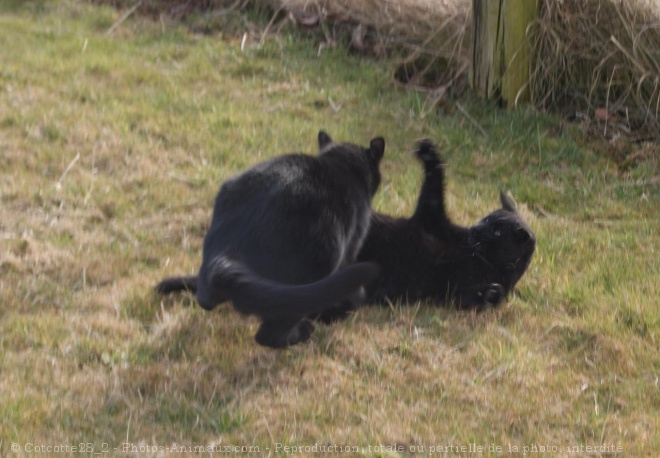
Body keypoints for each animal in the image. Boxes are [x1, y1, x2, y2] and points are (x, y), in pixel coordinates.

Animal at [157, 131, 384, 348]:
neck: (341, 164)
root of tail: (225, 254)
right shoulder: (350, 250)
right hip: (323, 257)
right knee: (270, 332)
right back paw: (304, 332)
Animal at [358, 140, 540, 310]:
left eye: (497, 232)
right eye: (486, 219)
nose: (475, 228)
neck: (474, 253)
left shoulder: (448, 289)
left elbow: (470, 297)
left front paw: (491, 294)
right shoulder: (431, 219)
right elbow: (434, 187)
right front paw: (429, 154)